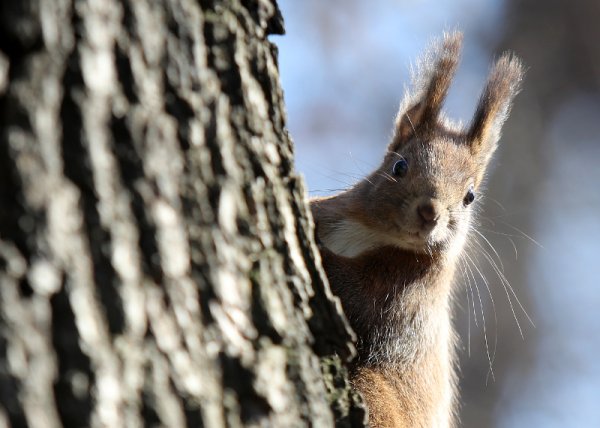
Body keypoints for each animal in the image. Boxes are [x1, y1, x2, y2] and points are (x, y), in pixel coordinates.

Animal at [312, 31, 524, 426]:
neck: (373, 234)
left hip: (377, 392)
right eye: (399, 166)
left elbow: (352, 291)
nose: (430, 212)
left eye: (470, 196)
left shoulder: (403, 295)